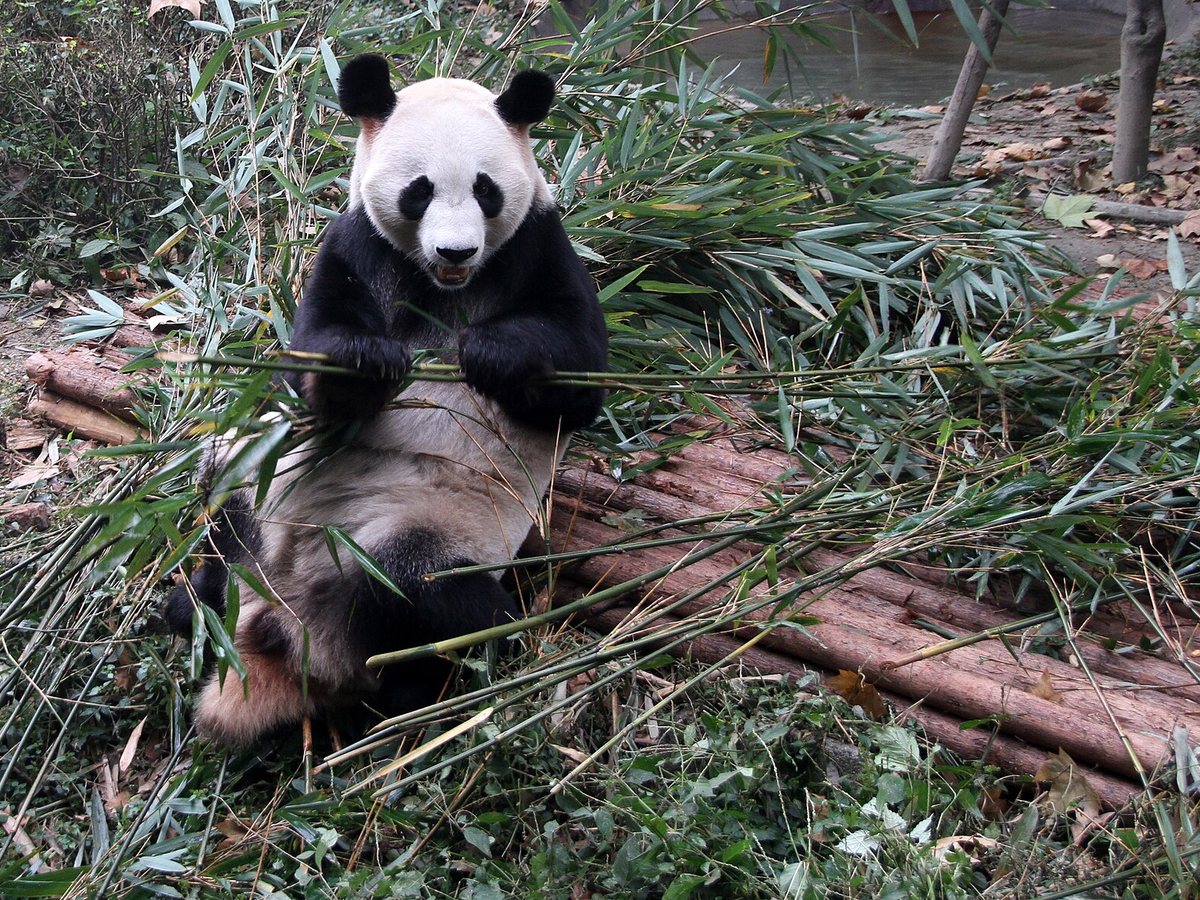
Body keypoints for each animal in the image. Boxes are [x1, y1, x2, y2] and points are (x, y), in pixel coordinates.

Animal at [165, 54, 608, 747]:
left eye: (485, 189)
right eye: (419, 190)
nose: (456, 250)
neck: (445, 287)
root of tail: (287, 621)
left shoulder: (537, 245)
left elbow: (579, 376)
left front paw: (486, 352)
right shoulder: (356, 246)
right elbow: (310, 361)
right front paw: (370, 362)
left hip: (421, 536)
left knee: (444, 607)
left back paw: (412, 696)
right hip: (260, 485)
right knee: (223, 513)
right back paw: (195, 604)